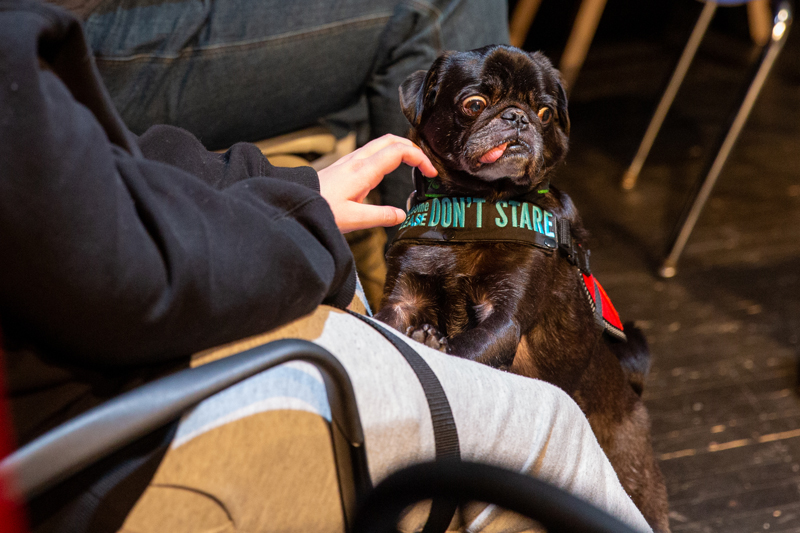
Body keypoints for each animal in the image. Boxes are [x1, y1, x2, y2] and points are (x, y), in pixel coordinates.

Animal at [376, 45, 668, 532]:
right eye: (475, 104)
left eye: (546, 112)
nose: (518, 117)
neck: (474, 204)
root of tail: (634, 393)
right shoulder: (402, 299)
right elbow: (384, 324)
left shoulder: (503, 319)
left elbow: (463, 351)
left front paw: (434, 347)